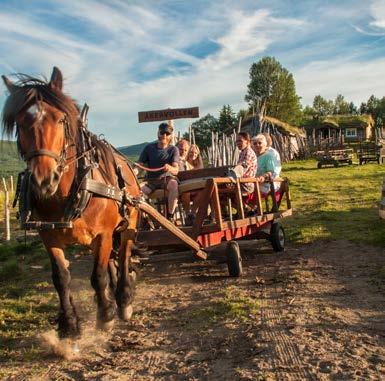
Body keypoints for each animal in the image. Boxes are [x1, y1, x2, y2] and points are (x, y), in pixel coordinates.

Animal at [1, 67, 140, 336]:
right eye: (20, 123)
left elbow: (97, 275)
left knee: (124, 255)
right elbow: (61, 278)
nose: (44, 180)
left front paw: (106, 315)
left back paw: (123, 299)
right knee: (111, 261)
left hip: (129, 224)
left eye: (60, 119)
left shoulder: (104, 234)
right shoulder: (48, 236)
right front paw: (69, 324)